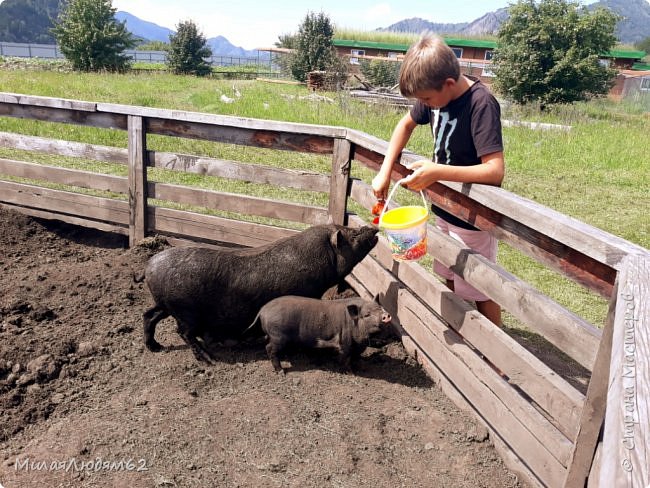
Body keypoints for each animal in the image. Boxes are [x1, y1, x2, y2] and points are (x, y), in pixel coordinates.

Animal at [142, 223, 374, 360]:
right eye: (354, 234)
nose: (373, 228)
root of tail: (150, 265)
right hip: (185, 310)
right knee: (183, 332)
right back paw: (209, 359)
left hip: (166, 304)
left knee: (148, 315)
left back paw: (155, 347)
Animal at [248, 294, 390, 374]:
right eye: (367, 315)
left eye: (380, 308)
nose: (386, 315)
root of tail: (263, 310)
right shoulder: (344, 342)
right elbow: (345, 357)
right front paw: (349, 372)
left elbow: (355, 357)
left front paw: (358, 368)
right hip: (278, 335)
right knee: (269, 348)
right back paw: (281, 371)